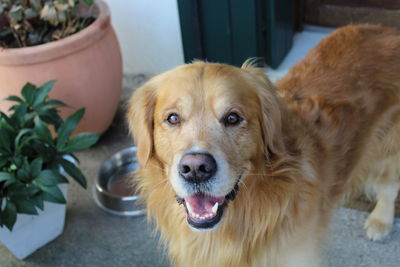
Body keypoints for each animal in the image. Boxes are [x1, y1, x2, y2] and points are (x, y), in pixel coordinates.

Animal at [127, 24, 400, 266]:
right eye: (172, 118)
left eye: (233, 118)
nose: (196, 169)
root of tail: (387, 30)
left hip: (390, 150)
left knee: (389, 186)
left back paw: (380, 221)